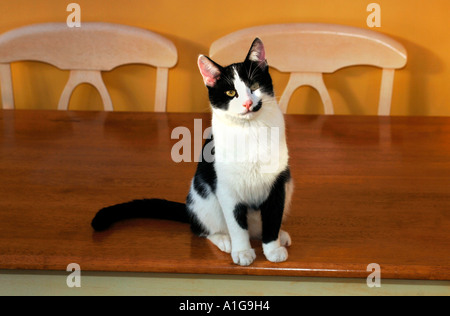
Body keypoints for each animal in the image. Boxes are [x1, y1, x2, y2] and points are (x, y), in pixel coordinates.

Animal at [92, 39, 294, 266]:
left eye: (254, 86)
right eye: (230, 93)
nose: (248, 103)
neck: (251, 130)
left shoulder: (278, 183)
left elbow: (273, 218)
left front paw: (273, 248)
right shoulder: (226, 188)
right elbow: (236, 224)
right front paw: (242, 251)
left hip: (289, 187)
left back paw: (280, 235)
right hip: (204, 198)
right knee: (200, 228)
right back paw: (224, 240)